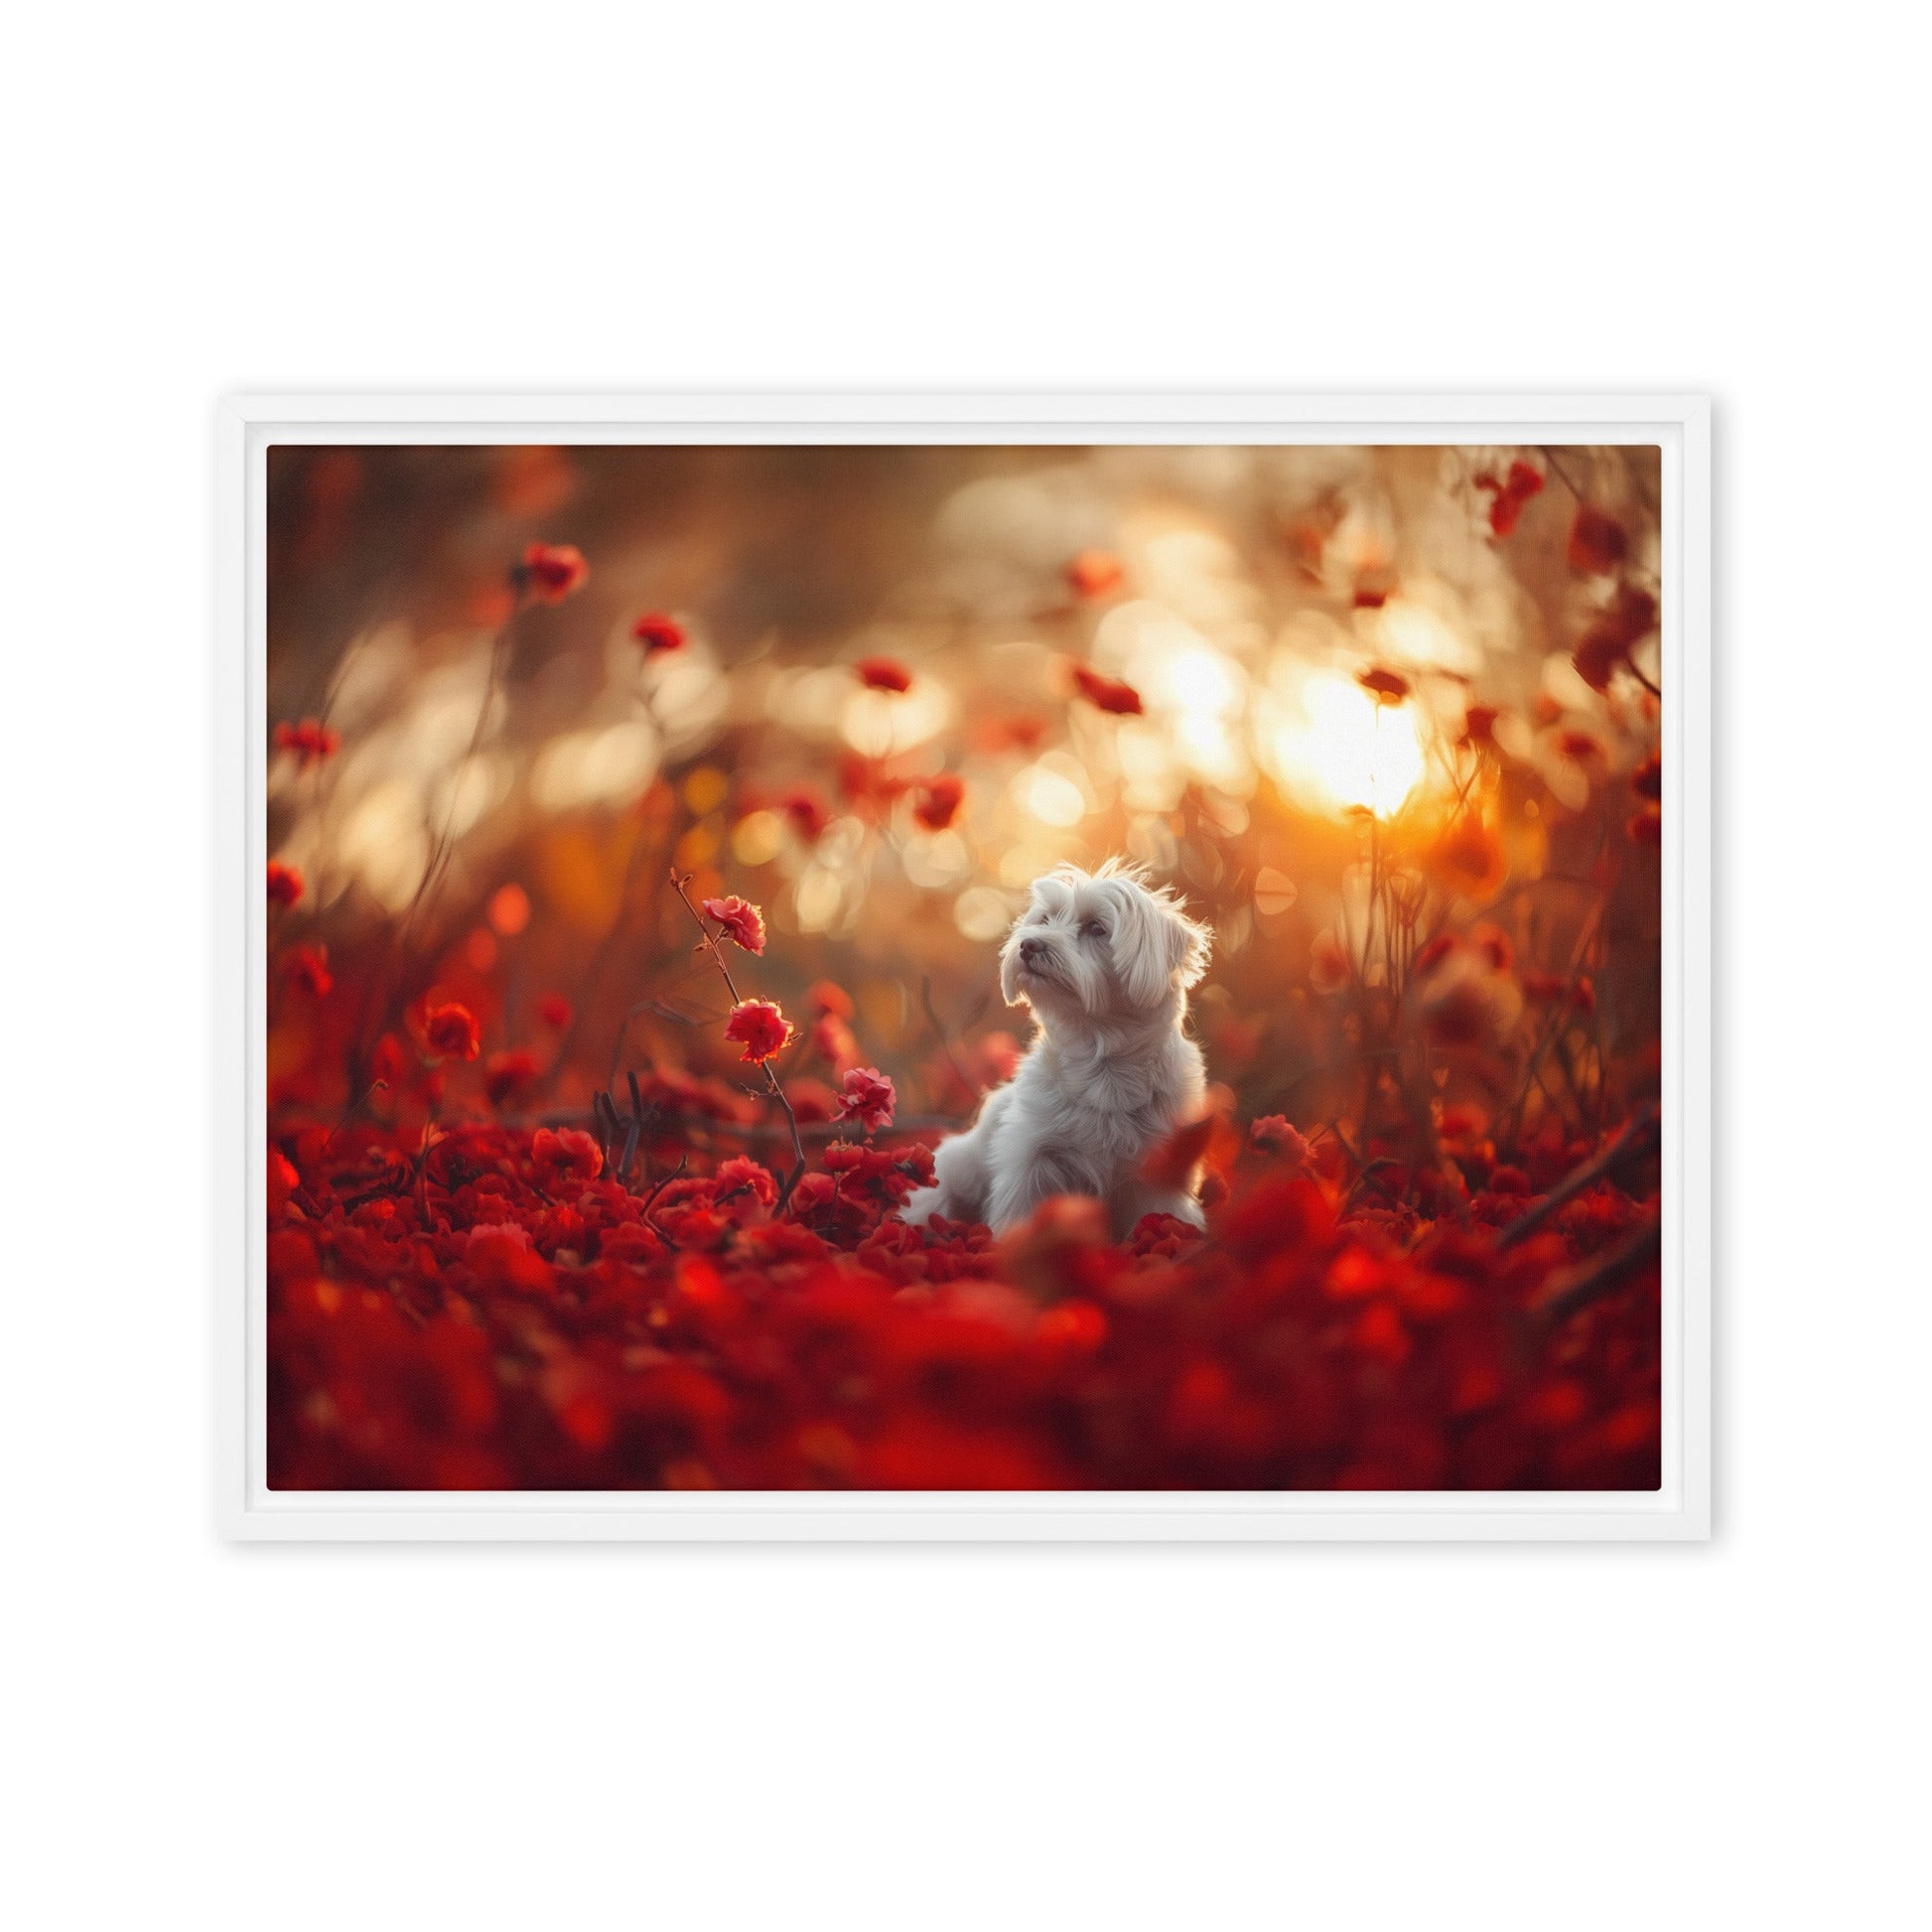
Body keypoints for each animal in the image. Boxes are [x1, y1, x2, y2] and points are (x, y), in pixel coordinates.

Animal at [899, 861, 1205, 1236]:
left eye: (1096, 928)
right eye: (1045, 919)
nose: (1028, 945)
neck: (1101, 1063)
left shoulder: (1160, 1174)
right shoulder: (1032, 1158)